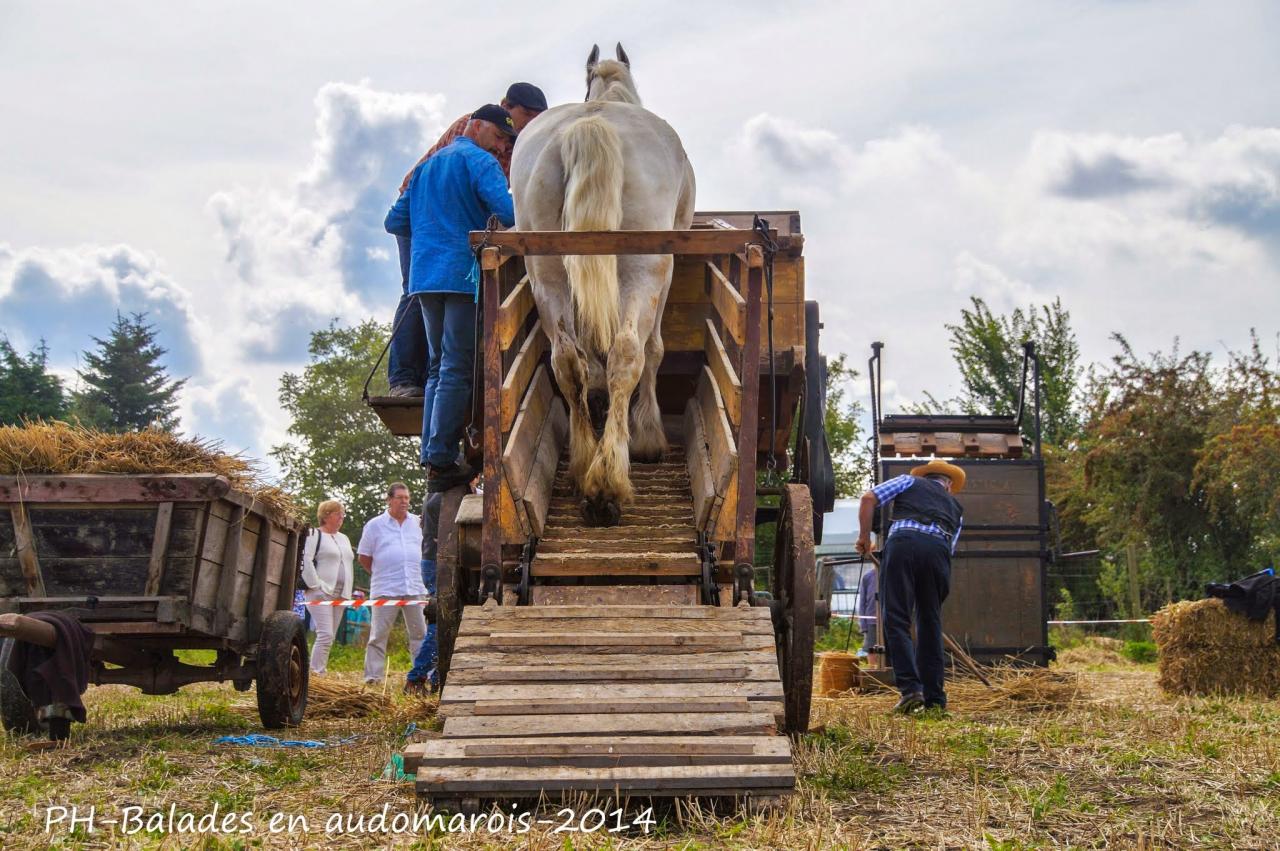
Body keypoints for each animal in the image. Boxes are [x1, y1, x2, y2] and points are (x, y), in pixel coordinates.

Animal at [509, 44, 696, 524]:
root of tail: (592, 123)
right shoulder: (666, 267)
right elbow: (654, 349)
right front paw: (647, 438)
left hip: (546, 269)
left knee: (567, 360)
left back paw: (583, 466)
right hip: (644, 265)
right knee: (628, 352)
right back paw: (607, 485)